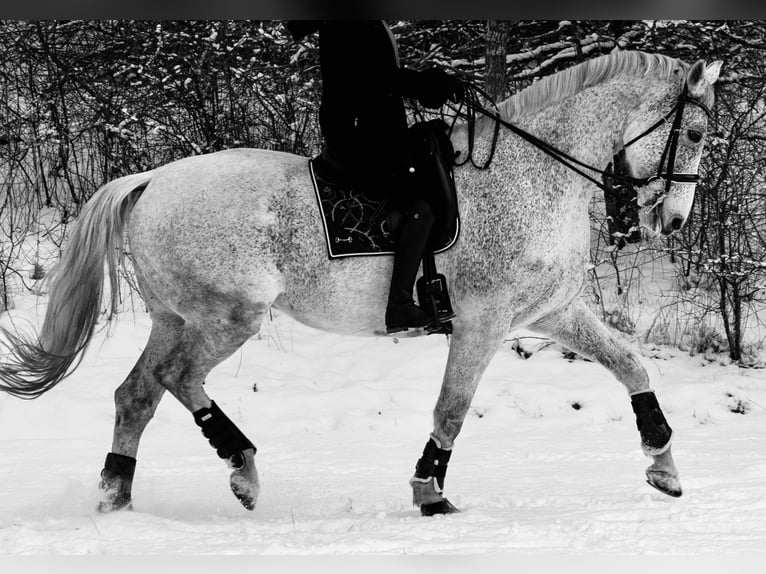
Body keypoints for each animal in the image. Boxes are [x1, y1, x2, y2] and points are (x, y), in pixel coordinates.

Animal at [0, 49, 720, 516]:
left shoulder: (552, 312)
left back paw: (116, 494)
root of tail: (150, 180)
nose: (675, 221)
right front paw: (430, 492)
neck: (535, 174)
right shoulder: (484, 323)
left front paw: (664, 466)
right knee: (178, 380)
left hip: (175, 318)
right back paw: (243, 470)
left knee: (136, 395)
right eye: (695, 130)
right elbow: (452, 409)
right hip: (226, 317)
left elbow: (631, 366)